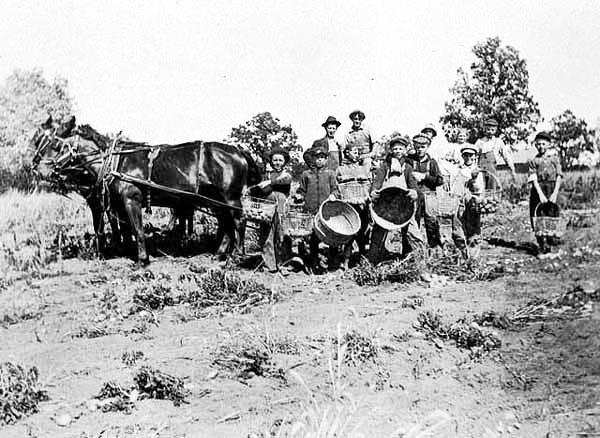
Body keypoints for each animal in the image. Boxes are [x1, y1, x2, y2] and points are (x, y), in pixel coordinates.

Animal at [30, 115, 260, 264]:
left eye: (55, 146)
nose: (39, 170)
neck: (114, 163)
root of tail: (239, 151)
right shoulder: (115, 203)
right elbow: (122, 229)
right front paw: (124, 251)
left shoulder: (130, 200)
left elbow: (136, 229)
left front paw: (142, 259)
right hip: (216, 199)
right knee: (226, 223)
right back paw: (219, 254)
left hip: (230, 198)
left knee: (239, 221)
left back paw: (237, 256)